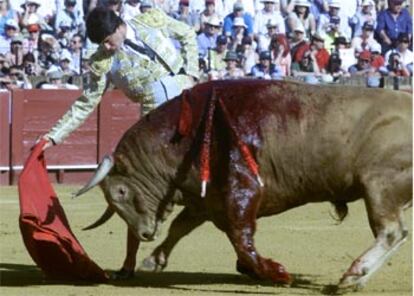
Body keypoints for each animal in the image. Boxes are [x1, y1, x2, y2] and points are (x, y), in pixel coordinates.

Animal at [76, 80, 412, 290]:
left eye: (121, 191)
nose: (145, 233)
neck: (183, 137)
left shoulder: (242, 190)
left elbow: (241, 236)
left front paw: (276, 273)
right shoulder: (206, 201)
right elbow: (181, 228)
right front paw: (154, 259)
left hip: (379, 187)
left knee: (391, 232)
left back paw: (353, 276)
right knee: (396, 234)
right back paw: (357, 279)